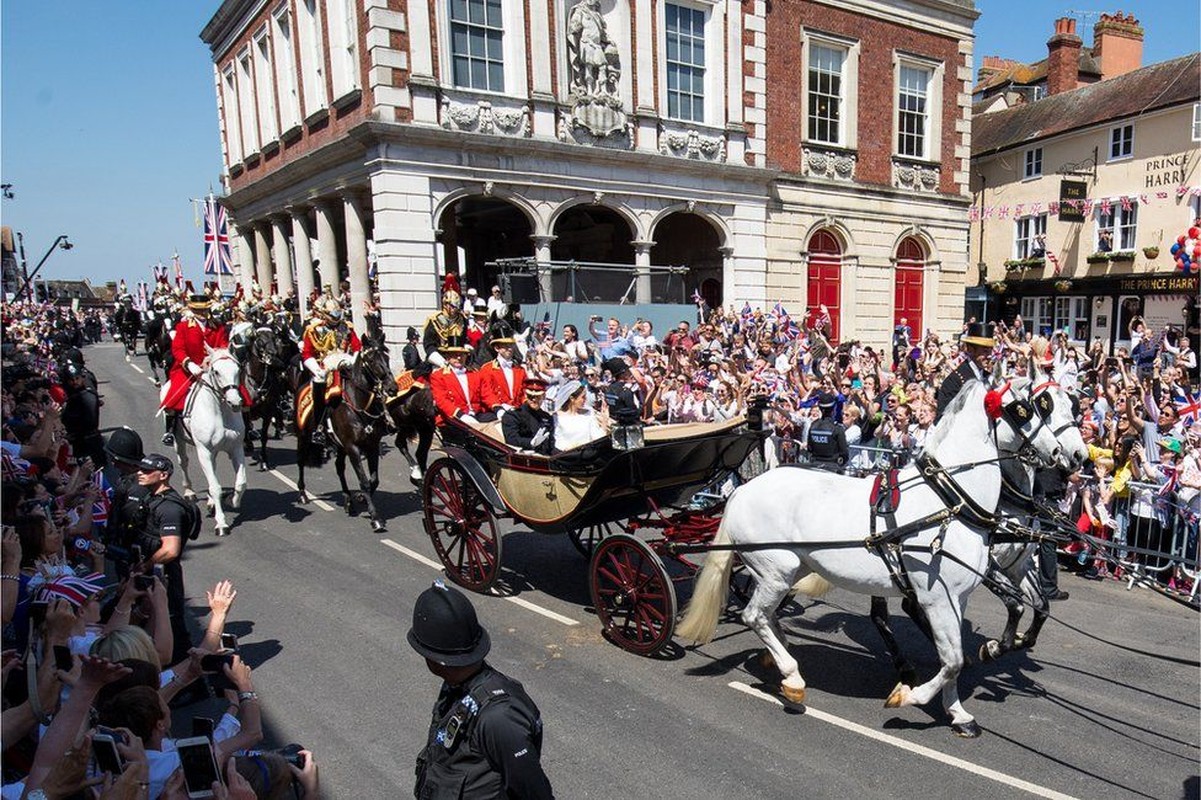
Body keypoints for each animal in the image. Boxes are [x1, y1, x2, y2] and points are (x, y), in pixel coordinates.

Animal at [169, 343, 246, 535]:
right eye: (216, 371)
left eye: (238, 369)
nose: (235, 402)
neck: (221, 412)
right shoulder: (204, 451)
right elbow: (215, 487)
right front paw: (221, 523)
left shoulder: (236, 448)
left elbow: (241, 483)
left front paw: (233, 500)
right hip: (179, 441)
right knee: (184, 462)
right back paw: (189, 492)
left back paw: (211, 502)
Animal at [682, 379, 1066, 735]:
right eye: (1022, 409)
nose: (1061, 455)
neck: (949, 501)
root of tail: (743, 490)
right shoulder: (937, 598)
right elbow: (953, 661)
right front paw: (908, 695)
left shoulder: (958, 599)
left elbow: (953, 657)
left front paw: (958, 714)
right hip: (776, 571)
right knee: (755, 616)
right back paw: (792, 677)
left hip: (792, 571)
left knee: (769, 617)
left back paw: (779, 658)